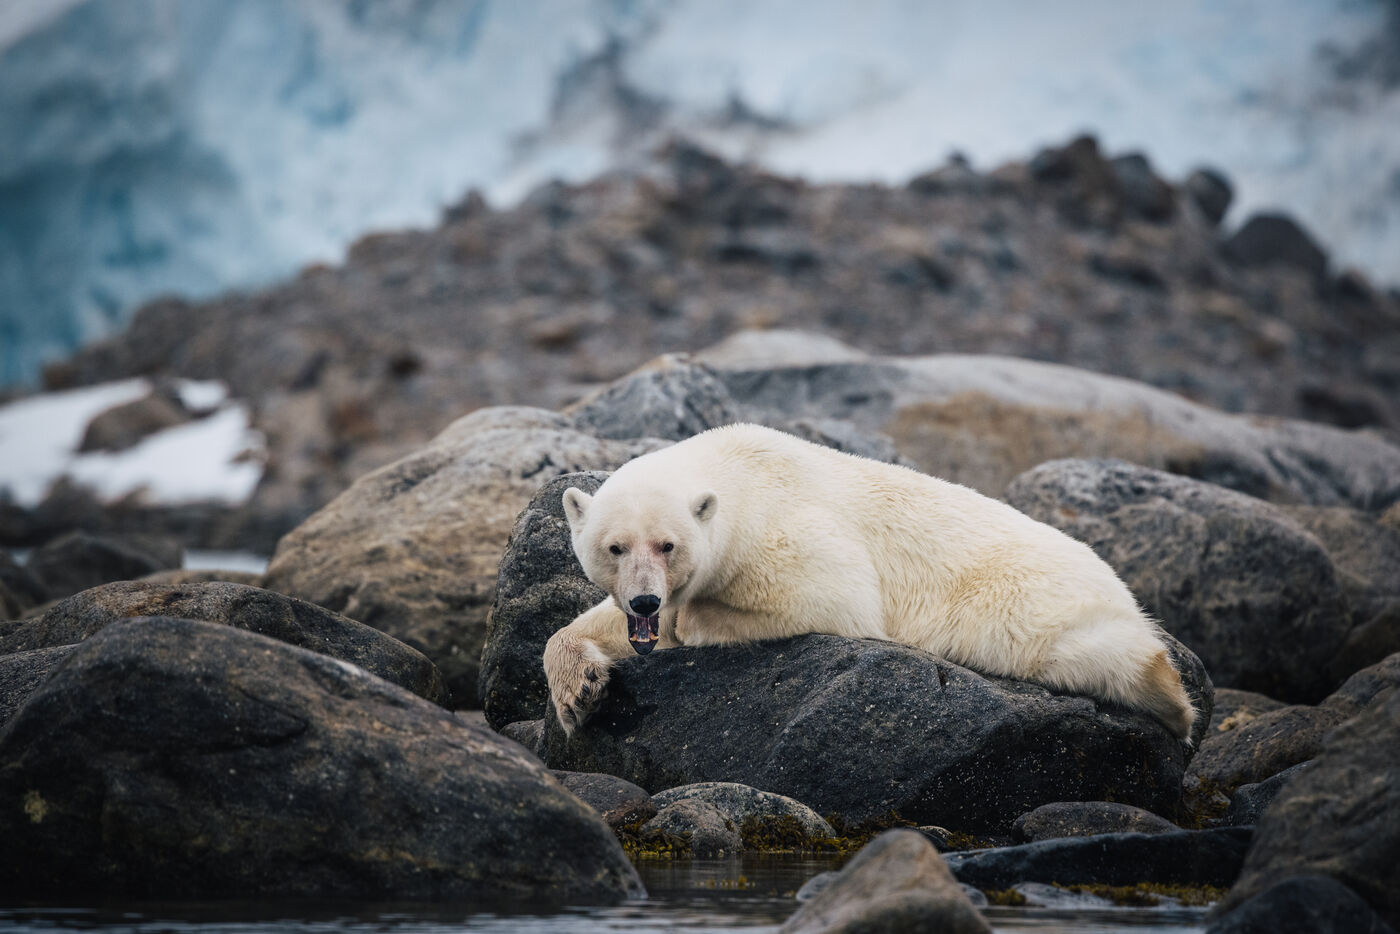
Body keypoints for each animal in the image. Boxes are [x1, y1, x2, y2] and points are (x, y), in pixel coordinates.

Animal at [543, 423, 1196, 740]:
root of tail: (1118, 585)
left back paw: (1172, 701)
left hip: (1023, 605)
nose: (647, 597)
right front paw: (579, 692)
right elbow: (592, 627)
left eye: (668, 544)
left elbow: (836, 596)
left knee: (1095, 652)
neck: (738, 471)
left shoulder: (786, 530)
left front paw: (689, 621)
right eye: (614, 547)